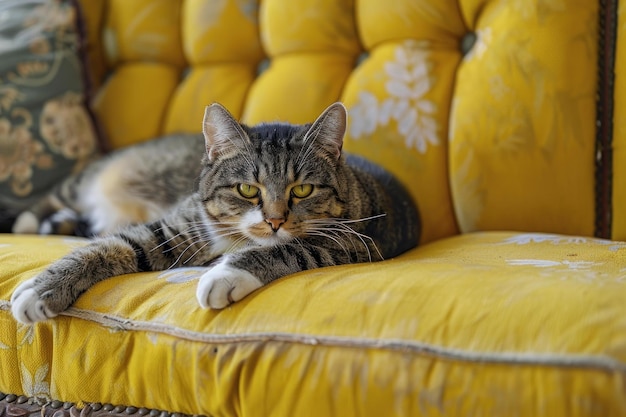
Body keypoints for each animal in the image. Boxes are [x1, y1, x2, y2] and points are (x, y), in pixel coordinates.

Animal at [9, 102, 416, 324]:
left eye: (301, 190)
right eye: (247, 190)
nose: (275, 220)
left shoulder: (355, 242)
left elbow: (290, 248)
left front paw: (225, 274)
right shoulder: (173, 227)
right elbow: (111, 245)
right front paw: (40, 288)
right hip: (84, 182)